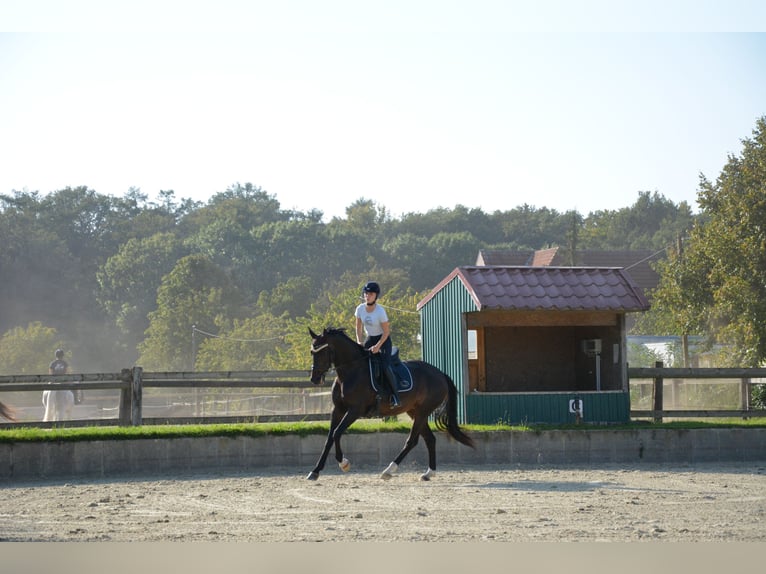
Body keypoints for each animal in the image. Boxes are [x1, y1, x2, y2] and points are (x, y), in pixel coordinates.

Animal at [306, 328, 474, 482]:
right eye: (312, 352)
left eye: (322, 352)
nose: (314, 379)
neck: (351, 371)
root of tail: (440, 374)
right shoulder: (338, 410)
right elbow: (329, 438)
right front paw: (315, 471)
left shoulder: (355, 410)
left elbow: (337, 433)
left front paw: (344, 463)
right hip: (414, 412)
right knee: (430, 439)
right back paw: (428, 473)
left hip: (422, 412)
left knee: (412, 441)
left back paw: (389, 470)